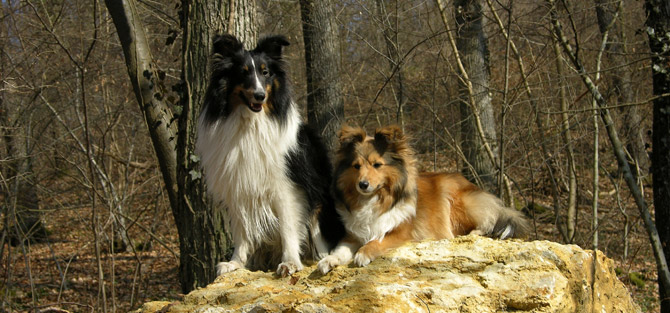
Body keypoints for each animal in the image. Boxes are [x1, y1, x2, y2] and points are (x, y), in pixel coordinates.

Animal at [193, 34, 342, 276]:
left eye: (265, 72)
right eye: (243, 72)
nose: (260, 96)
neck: (250, 123)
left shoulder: (287, 187)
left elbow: (288, 227)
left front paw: (290, 262)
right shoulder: (238, 186)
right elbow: (241, 231)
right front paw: (235, 263)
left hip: (320, 199)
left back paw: (321, 257)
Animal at [318, 125, 532, 272]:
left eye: (377, 165)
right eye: (356, 166)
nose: (362, 184)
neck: (375, 200)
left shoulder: (402, 232)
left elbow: (378, 241)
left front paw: (363, 253)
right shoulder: (352, 235)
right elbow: (340, 250)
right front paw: (329, 260)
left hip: (458, 201)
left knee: (489, 220)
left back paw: (472, 233)